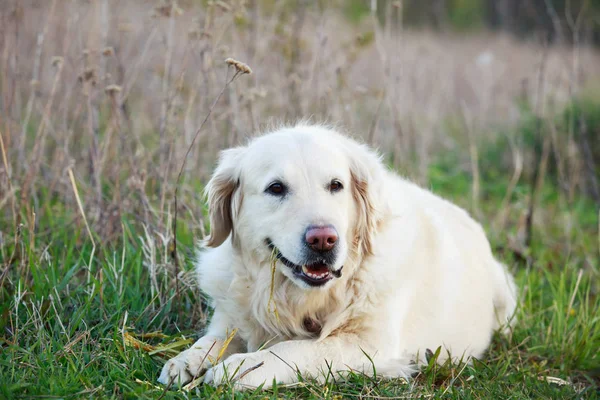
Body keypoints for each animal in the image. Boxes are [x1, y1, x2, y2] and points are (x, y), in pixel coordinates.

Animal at [157, 123, 516, 390]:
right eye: (276, 188)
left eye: (336, 185)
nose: (323, 240)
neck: (297, 296)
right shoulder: (231, 315)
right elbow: (213, 339)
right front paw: (185, 361)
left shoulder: (370, 343)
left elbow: (295, 348)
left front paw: (244, 367)